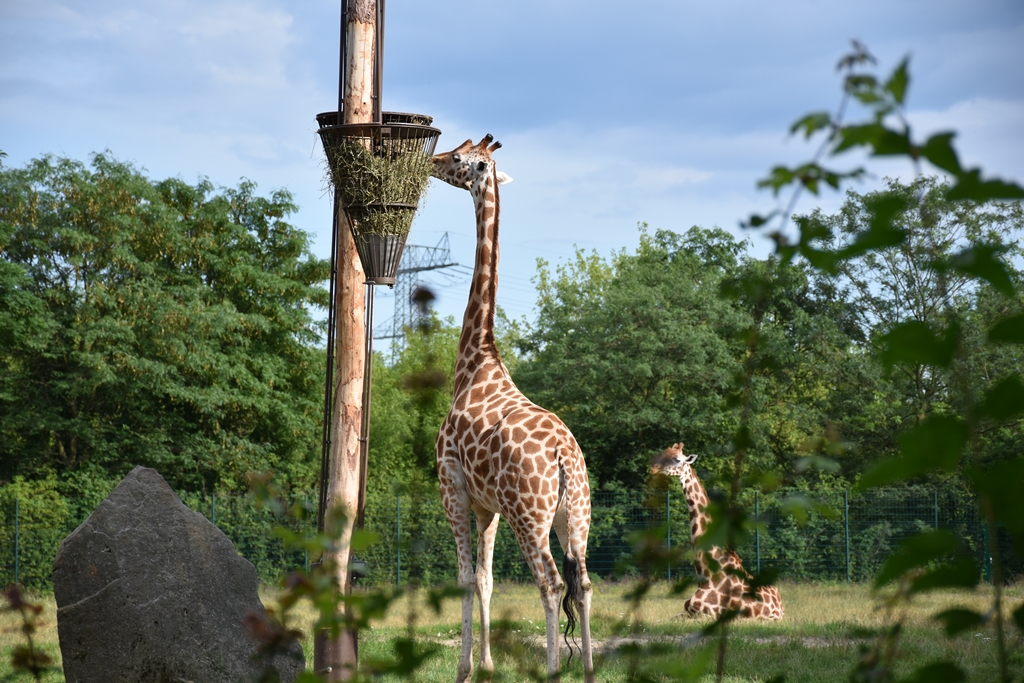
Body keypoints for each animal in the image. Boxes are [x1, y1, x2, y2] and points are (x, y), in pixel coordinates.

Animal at [431, 135, 596, 683]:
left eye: (458, 159)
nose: (431, 161)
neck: (476, 362)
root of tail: (565, 459)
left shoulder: (453, 486)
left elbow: (465, 578)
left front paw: (464, 669)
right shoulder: (490, 507)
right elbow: (485, 580)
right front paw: (487, 663)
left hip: (532, 516)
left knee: (550, 583)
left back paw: (552, 671)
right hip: (575, 518)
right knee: (583, 585)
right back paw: (588, 672)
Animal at [650, 443, 784, 620]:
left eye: (677, 459)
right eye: (663, 453)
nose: (653, 468)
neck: (708, 574)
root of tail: (781, 607)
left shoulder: (706, 614)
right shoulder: (688, 610)